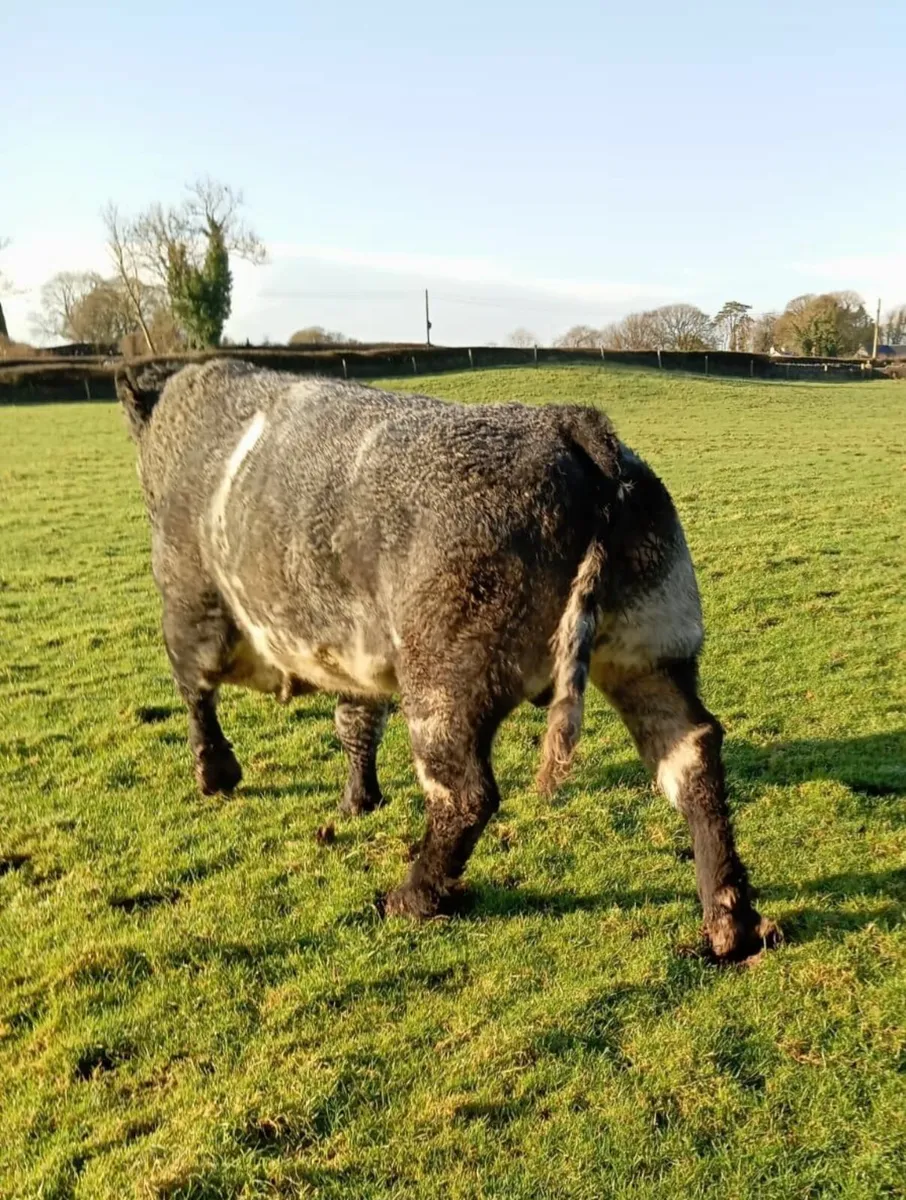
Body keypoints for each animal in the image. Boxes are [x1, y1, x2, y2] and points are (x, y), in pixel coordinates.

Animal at [117, 358, 778, 961]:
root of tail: (568, 425)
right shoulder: (355, 650)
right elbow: (354, 721)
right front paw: (358, 801)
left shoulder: (188, 601)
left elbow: (195, 694)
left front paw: (216, 776)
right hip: (654, 651)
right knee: (693, 753)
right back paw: (732, 927)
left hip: (445, 681)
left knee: (465, 794)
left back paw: (409, 899)